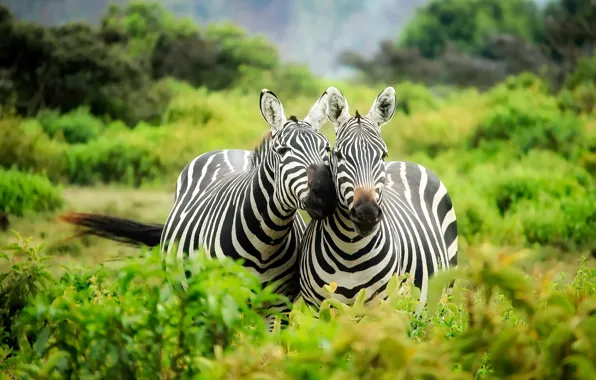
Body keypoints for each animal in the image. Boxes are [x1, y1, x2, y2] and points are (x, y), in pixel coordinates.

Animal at [60, 87, 340, 326]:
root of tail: (228, 150)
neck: (267, 240)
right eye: (282, 151)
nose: (326, 194)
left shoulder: (278, 306)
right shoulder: (220, 299)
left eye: (327, 148)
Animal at [300, 87, 458, 312]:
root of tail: (407, 162)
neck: (349, 252)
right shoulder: (318, 309)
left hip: (444, 295)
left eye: (382, 155)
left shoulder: (382, 307)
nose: (366, 214)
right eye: (338, 155)